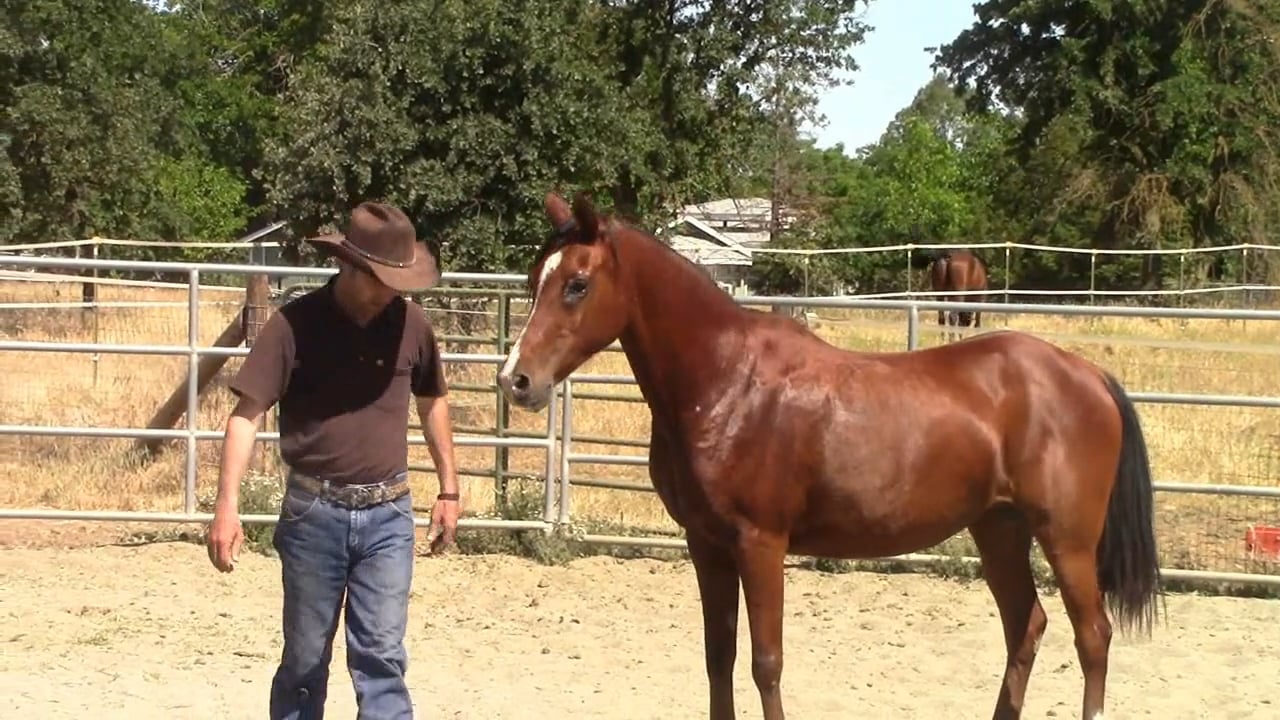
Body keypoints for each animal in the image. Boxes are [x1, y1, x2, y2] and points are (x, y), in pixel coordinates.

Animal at [497, 191, 1163, 720]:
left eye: (577, 285)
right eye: (533, 282)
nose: (516, 381)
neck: (726, 381)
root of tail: (1085, 373)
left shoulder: (760, 544)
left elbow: (766, 661)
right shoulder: (706, 544)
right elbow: (719, 656)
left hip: (1067, 540)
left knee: (1092, 636)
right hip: (998, 529)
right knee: (1026, 626)